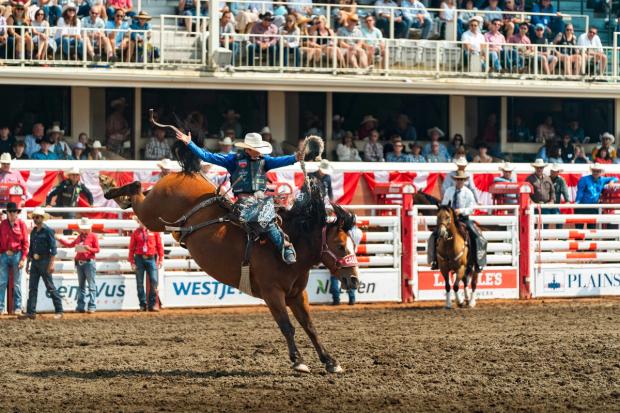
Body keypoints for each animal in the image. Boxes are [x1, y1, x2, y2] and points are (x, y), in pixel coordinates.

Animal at [103, 171, 358, 374]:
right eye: (341, 246)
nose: (354, 279)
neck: (289, 246)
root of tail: (183, 172)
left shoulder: (296, 295)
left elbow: (310, 327)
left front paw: (330, 361)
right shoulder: (272, 293)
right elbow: (287, 326)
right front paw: (298, 361)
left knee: (139, 190)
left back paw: (116, 195)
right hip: (152, 215)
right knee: (137, 188)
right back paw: (111, 189)